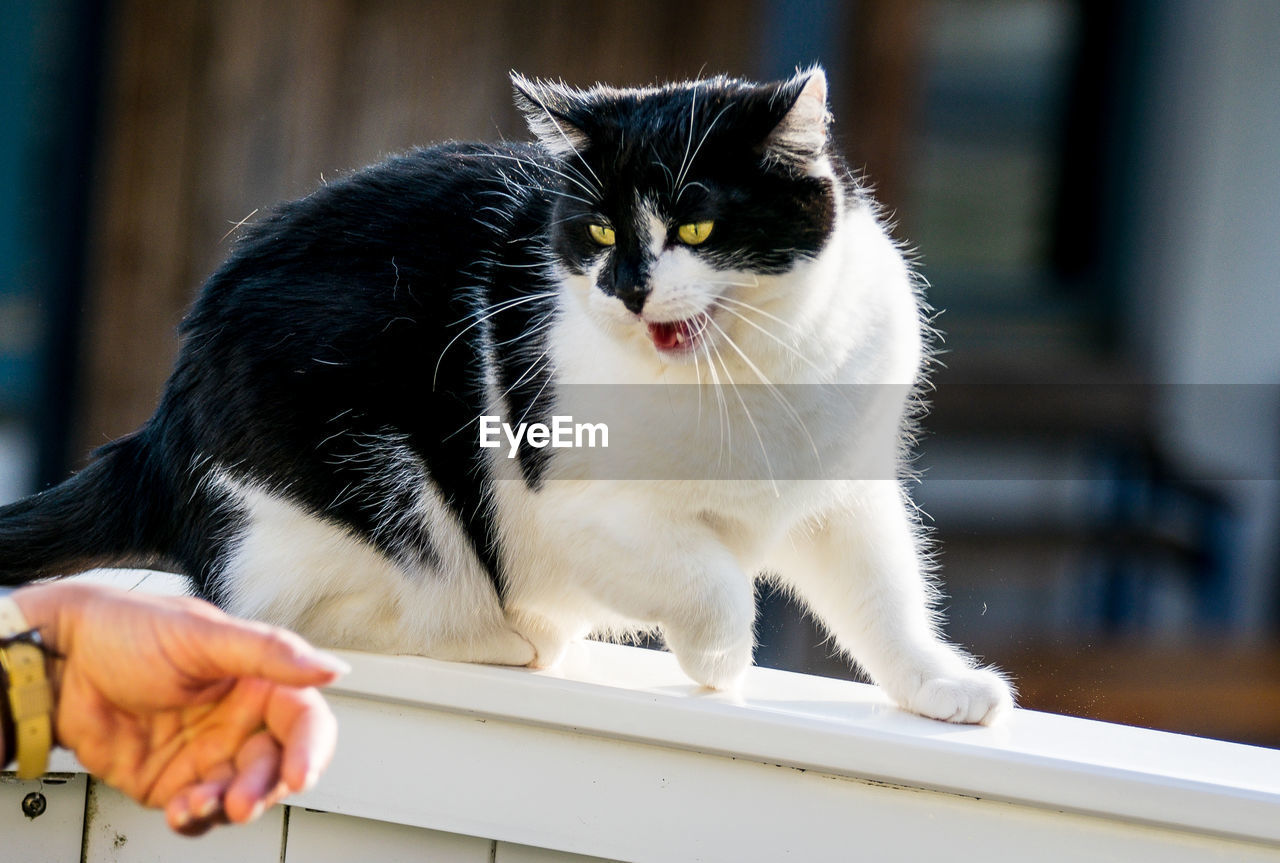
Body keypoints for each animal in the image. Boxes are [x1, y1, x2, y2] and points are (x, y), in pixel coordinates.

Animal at [2, 70, 1018, 722]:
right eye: (599, 230)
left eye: (696, 224)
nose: (627, 287)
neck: (746, 379)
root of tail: (161, 428)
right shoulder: (577, 503)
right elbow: (711, 580)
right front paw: (720, 659)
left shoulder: (844, 494)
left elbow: (886, 596)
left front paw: (940, 684)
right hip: (363, 474)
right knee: (279, 608)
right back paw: (503, 637)